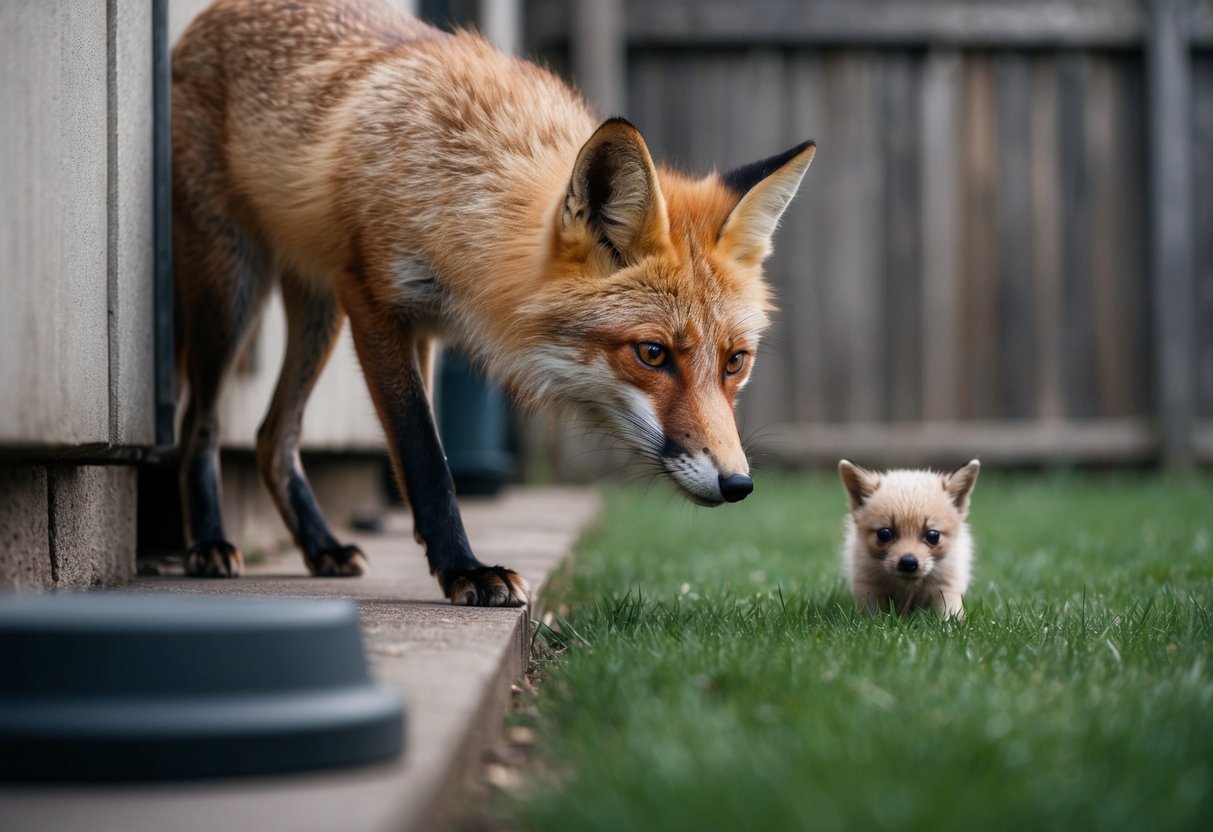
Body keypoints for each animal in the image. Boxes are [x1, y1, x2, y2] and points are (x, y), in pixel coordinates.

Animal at [171, 0, 815, 606]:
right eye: (652, 354)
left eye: (736, 362)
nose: (738, 485)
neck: (460, 189)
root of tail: (215, 15)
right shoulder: (376, 301)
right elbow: (426, 458)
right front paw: (465, 571)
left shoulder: (416, 325)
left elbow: (428, 455)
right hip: (232, 288)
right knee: (199, 421)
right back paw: (208, 542)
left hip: (318, 308)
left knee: (271, 438)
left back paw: (321, 547)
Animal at [838, 459, 980, 618]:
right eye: (884, 534)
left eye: (933, 536)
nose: (908, 563)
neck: (907, 586)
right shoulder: (867, 585)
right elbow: (873, 616)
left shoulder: (947, 586)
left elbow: (949, 614)